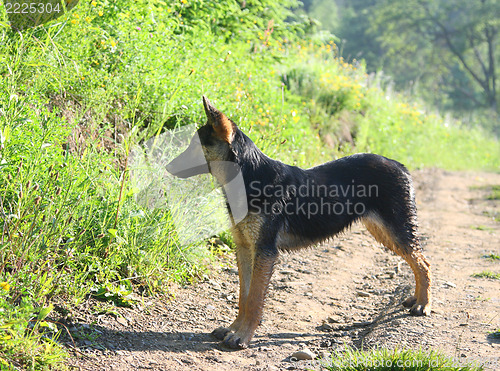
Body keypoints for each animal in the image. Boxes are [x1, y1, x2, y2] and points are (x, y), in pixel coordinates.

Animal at [166, 96, 432, 348]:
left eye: (195, 146)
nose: (166, 167)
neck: (249, 176)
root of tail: (400, 165)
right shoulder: (244, 248)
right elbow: (244, 295)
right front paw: (233, 328)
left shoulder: (264, 251)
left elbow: (254, 299)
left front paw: (243, 336)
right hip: (383, 232)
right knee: (419, 262)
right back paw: (416, 298)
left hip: (396, 231)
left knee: (423, 264)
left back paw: (423, 304)